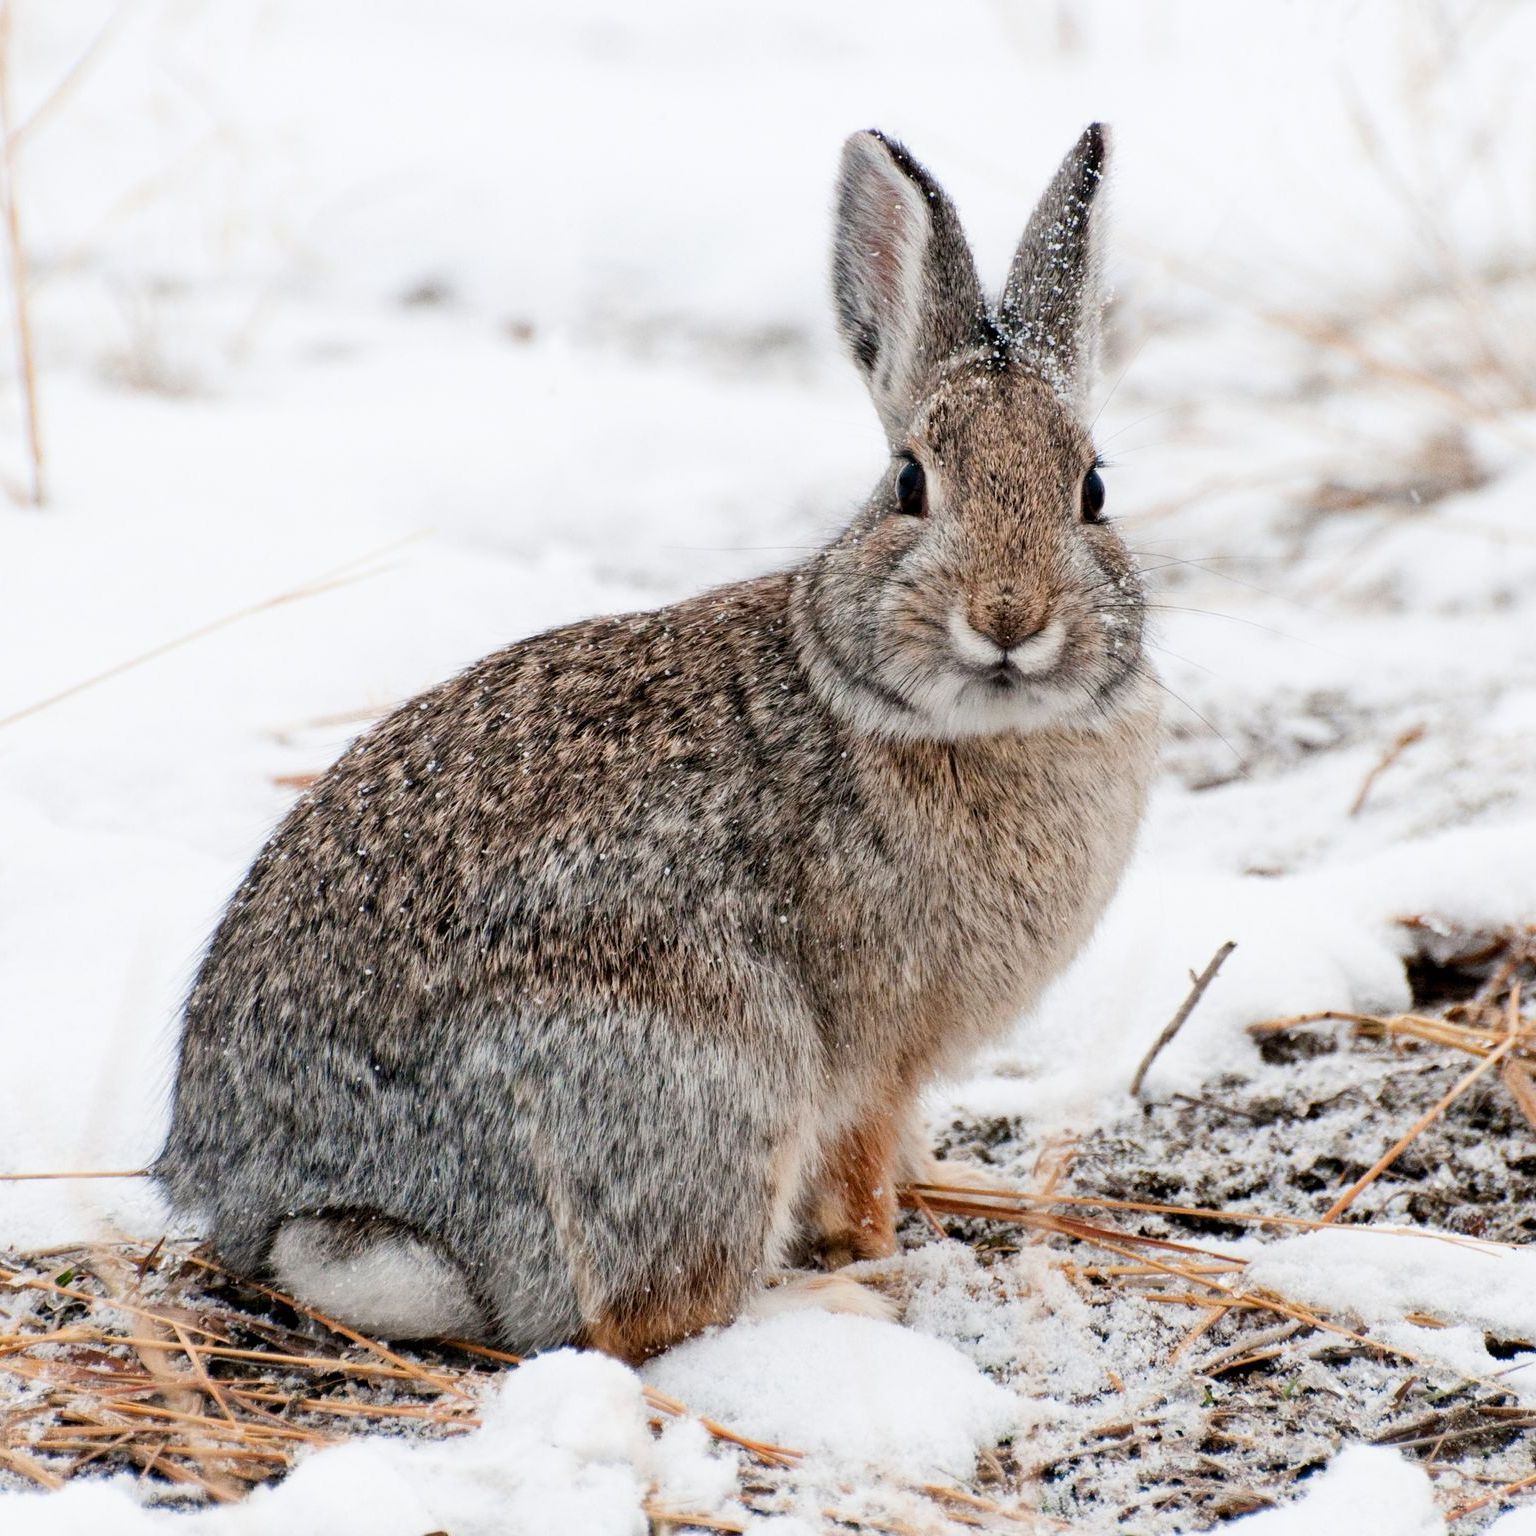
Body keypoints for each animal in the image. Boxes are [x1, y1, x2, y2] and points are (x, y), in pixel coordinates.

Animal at [156, 123, 1159, 1362]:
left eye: (1094, 489)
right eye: (910, 483)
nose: (1010, 619)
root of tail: (302, 1200)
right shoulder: (876, 1058)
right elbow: (862, 1173)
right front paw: (882, 1251)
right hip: (704, 1080)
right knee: (646, 1317)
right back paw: (830, 1307)